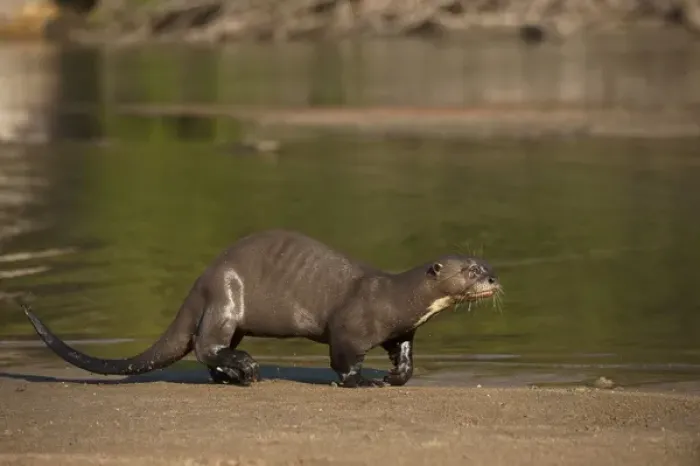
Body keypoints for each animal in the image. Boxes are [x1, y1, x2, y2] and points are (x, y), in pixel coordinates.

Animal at [20, 230, 501, 388]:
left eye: (487, 265)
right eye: (471, 270)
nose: (494, 280)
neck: (395, 297)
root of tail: (202, 279)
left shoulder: (401, 330)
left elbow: (405, 357)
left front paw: (394, 377)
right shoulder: (350, 325)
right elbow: (343, 360)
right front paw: (362, 381)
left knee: (208, 351)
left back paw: (230, 375)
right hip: (226, 296)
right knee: (206, 345)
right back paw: (247, 369)